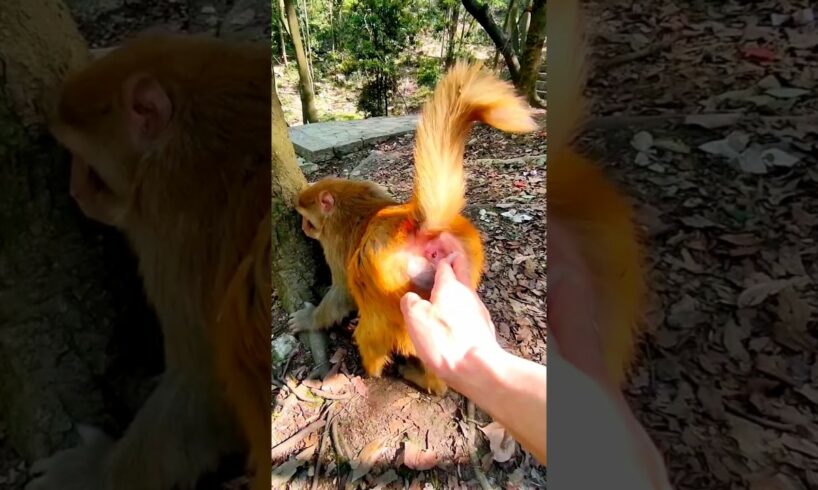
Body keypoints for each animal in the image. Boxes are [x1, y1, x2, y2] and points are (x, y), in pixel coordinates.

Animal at [290, 63, 540, 396]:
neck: (349, 200)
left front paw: (310, 318)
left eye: (308, 220)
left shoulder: (334, 242)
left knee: (372, 324)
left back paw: (379, 371)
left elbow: (342, 294)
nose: (304, 229)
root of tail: (416, 225)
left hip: (382, 277)